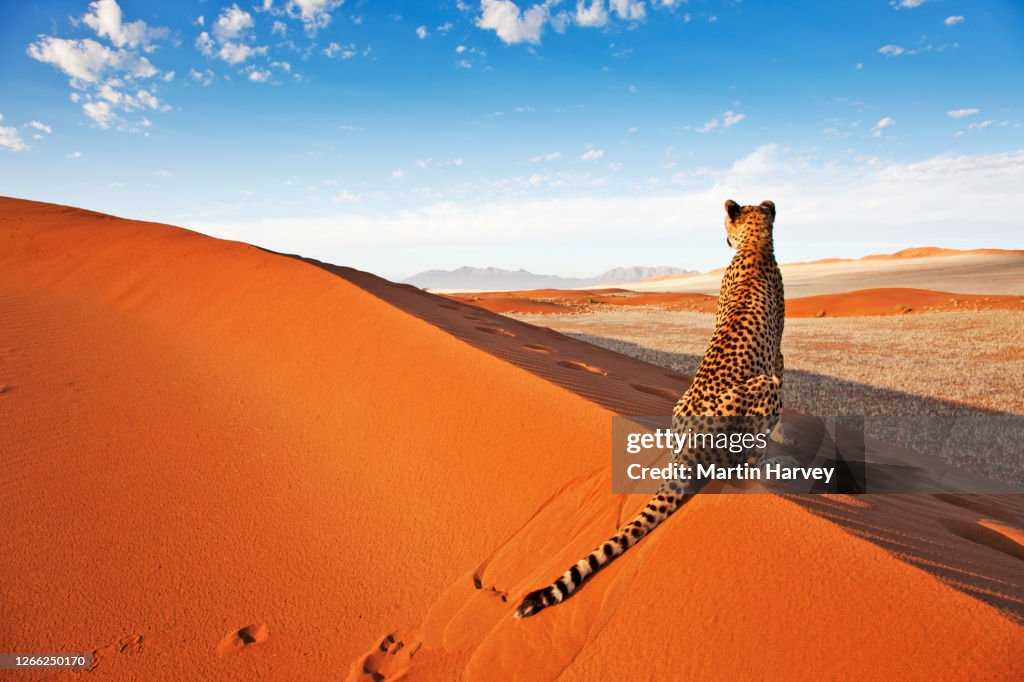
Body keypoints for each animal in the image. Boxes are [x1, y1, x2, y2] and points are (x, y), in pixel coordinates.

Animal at [515, 199, 787, 618]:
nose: (724, 239)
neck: (755, 246)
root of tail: (686, 446)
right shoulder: (777, 360)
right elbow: (783, 375)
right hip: (760, 396)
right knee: (749, 453)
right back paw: (763, 466)